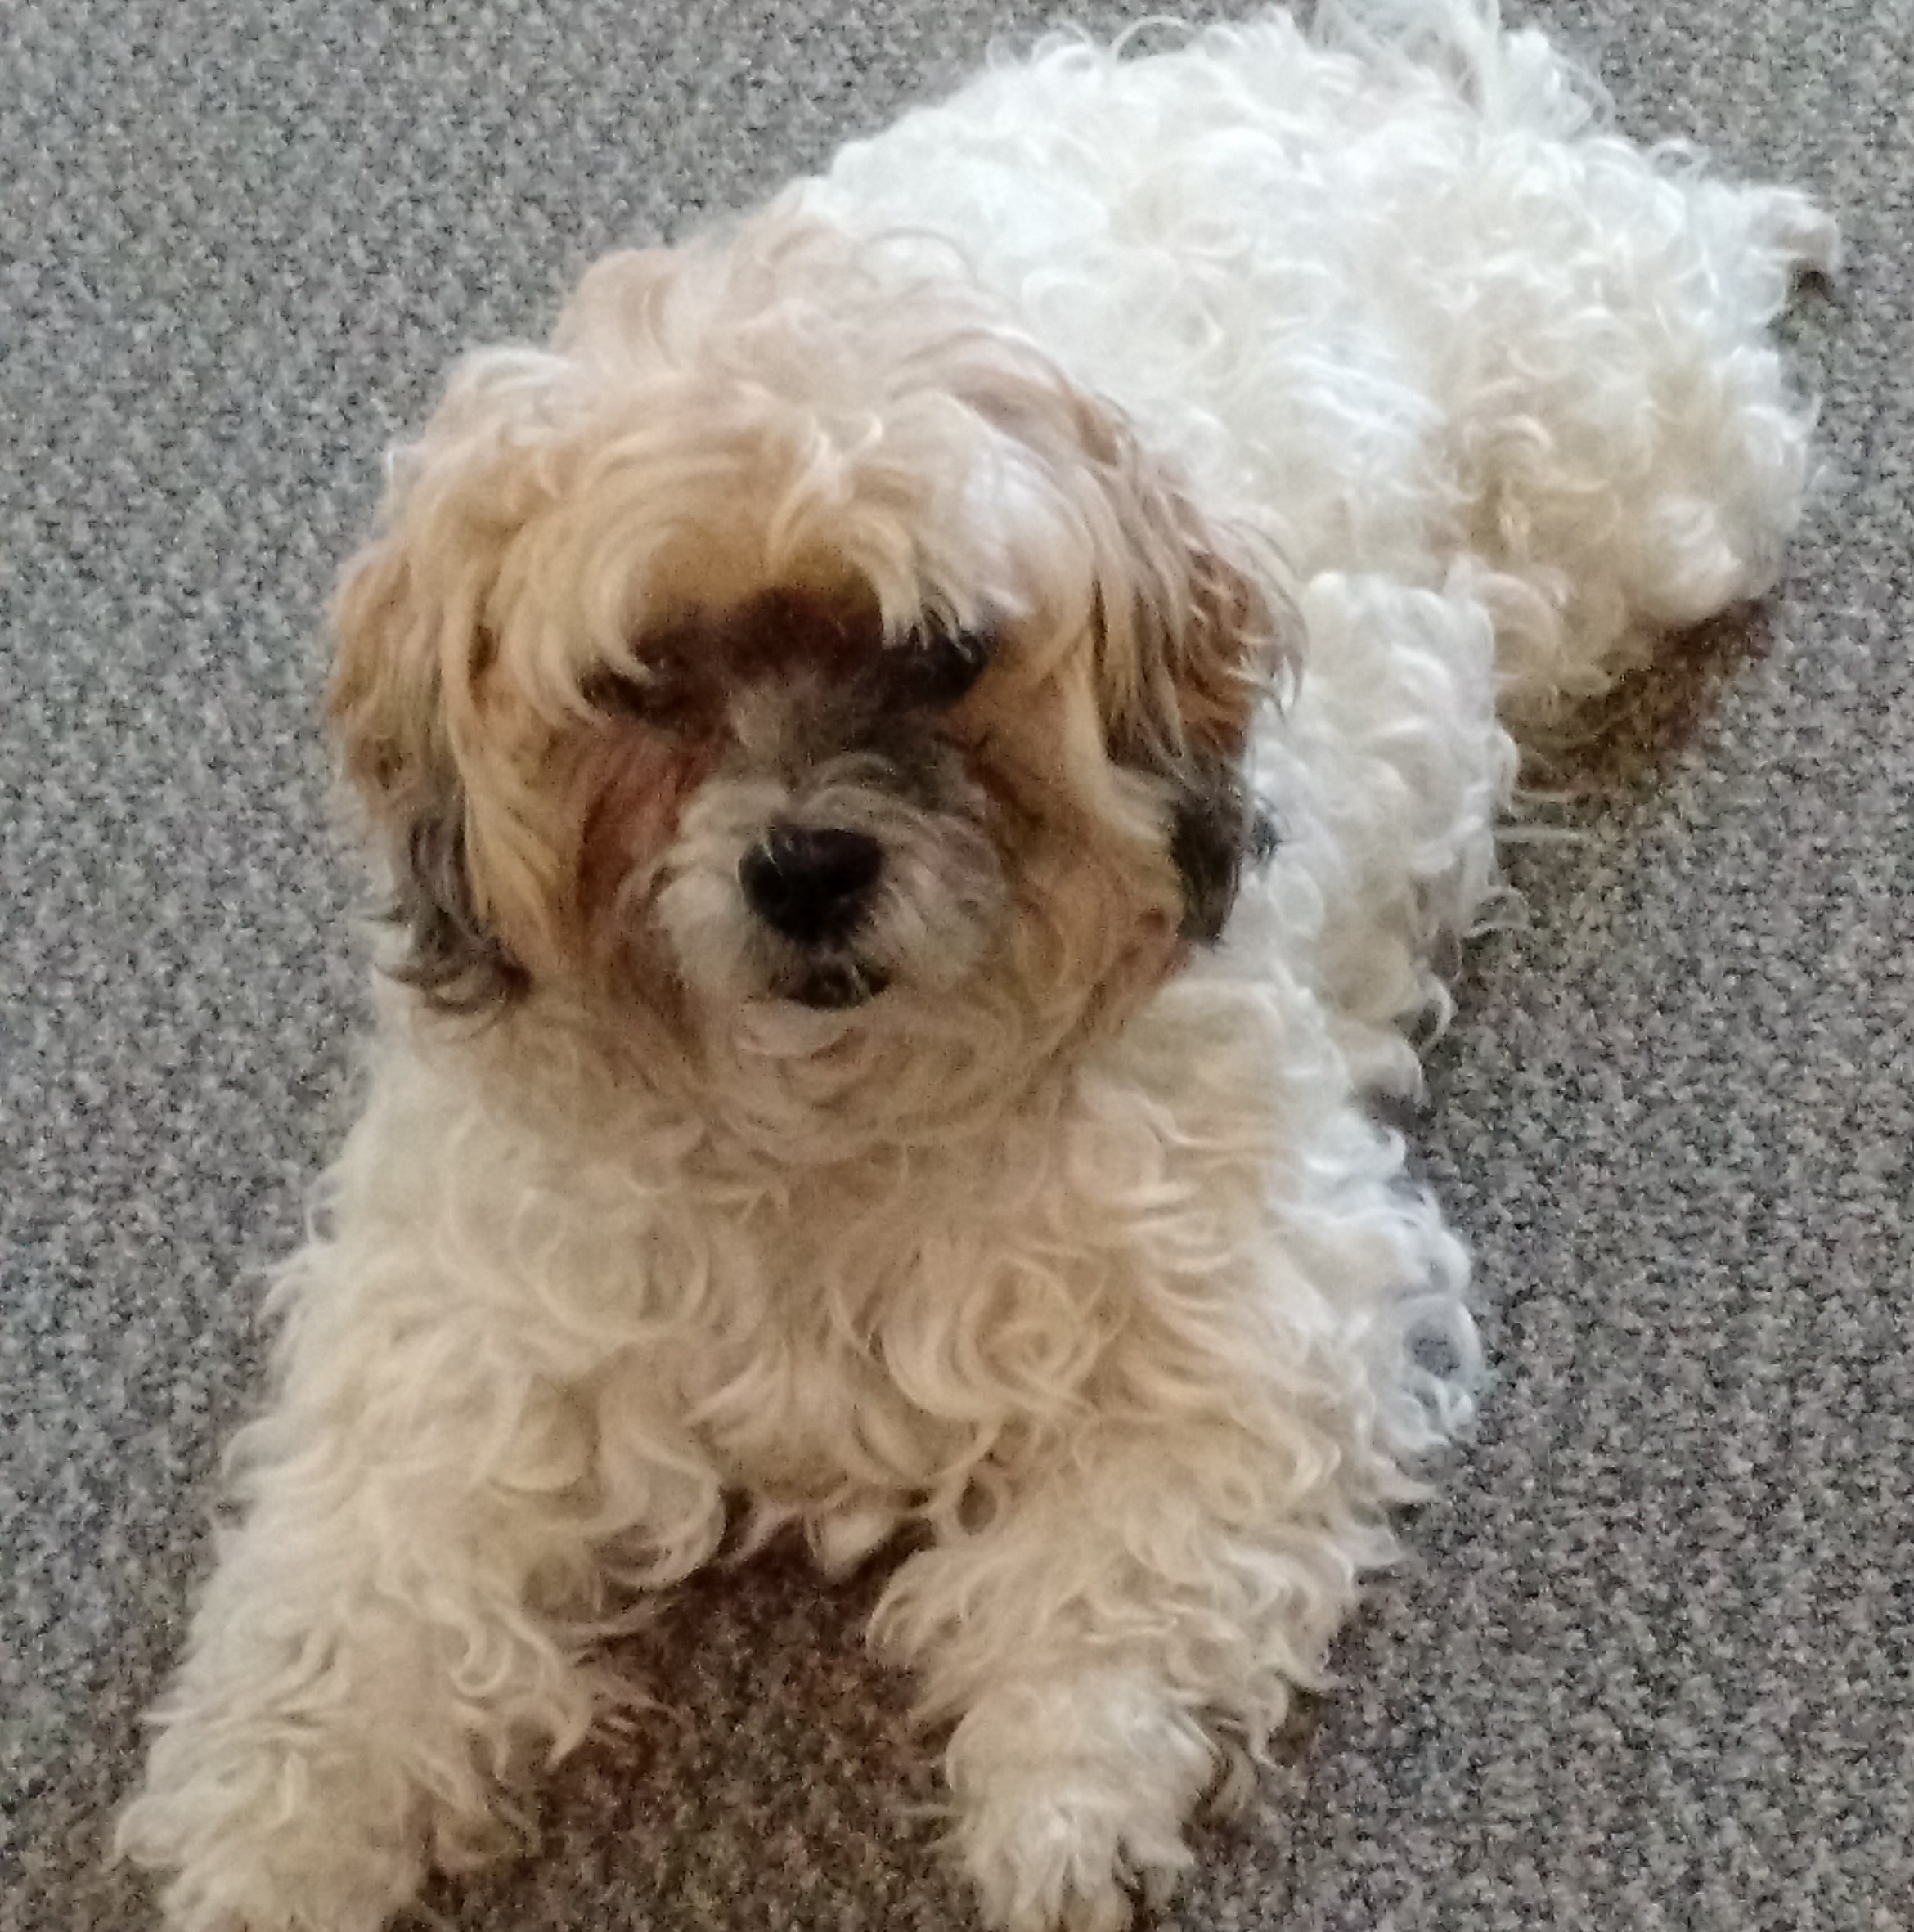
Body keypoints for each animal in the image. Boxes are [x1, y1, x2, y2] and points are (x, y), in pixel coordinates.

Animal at [118, 5, 1831, 1927]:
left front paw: (1067, 1803)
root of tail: (1383, 95)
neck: (825, 1127)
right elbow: (352, 1618)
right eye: (641, 676)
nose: (807, 862)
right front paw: (268, 1839)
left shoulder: (1248, 1315)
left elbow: (1115, 1592)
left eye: (943, 653)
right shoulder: (454, 1346)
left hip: (1654, 500)